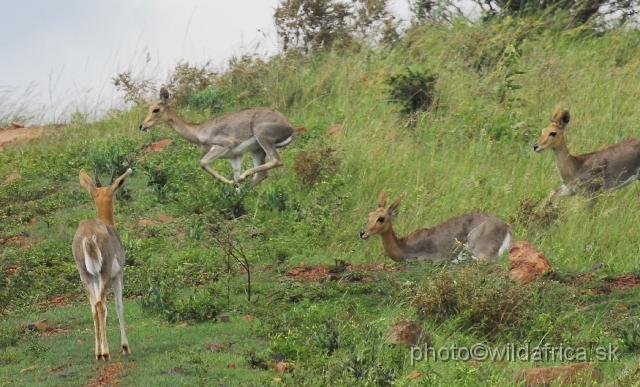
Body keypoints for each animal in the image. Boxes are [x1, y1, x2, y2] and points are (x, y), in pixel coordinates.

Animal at [72, 168, 132, 362]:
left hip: (86, 275)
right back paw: (105, 353)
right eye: (115, 193)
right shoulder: (117, 274)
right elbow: (119, 305)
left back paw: (98, 353)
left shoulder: (95, 277)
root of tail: (89, 236)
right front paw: (125, 347)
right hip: (105, 273)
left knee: (94, 305)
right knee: (100, 305)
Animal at [140, 85, 296, 189]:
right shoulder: (235, 155)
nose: (142, 126)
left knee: (276, 161)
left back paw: (244, 176)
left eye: (155, 110)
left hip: (263, 138)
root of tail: (290, 127)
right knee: (262, 174)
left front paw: (229, 182)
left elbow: (203, 163)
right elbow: (235, 177)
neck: (199, 130)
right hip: (256, 150)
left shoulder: (221, 147)